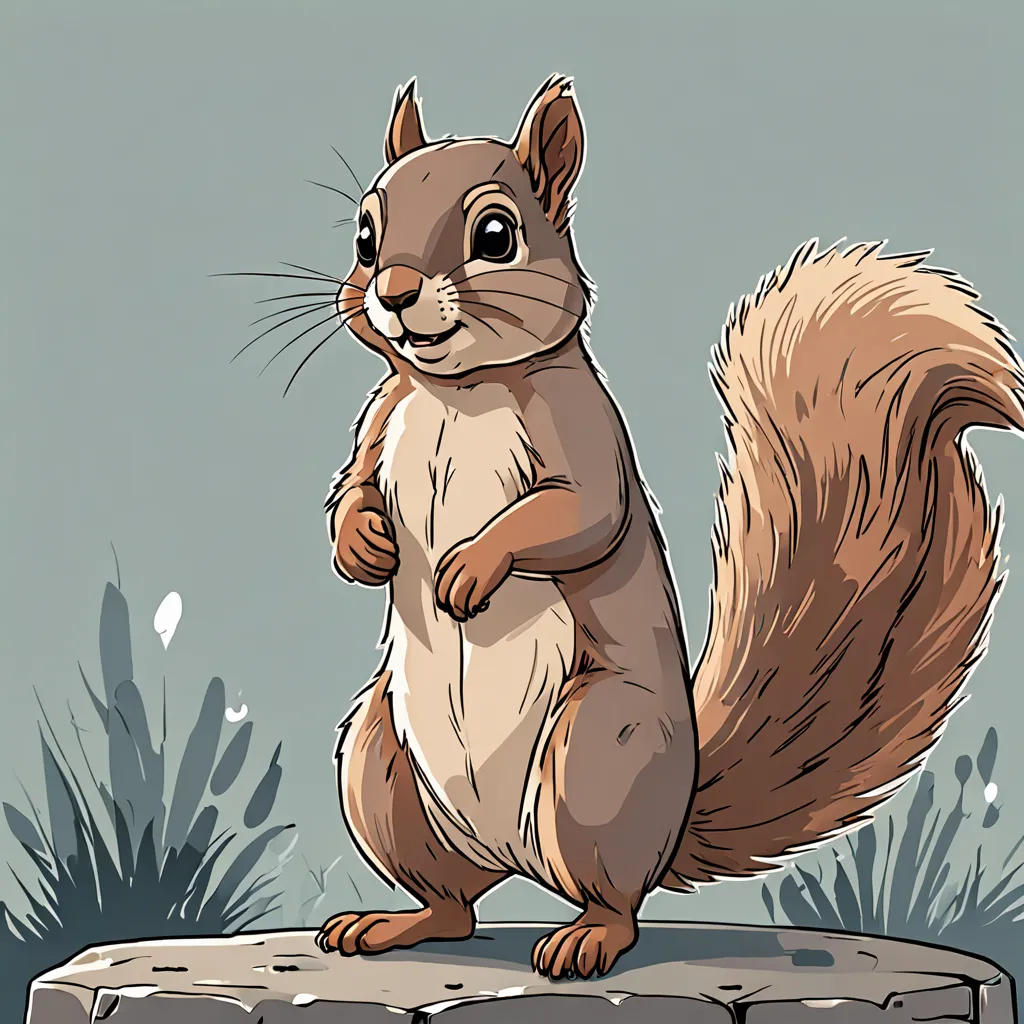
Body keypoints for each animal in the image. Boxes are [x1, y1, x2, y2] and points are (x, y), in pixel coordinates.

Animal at [311, 75, 1024, 979]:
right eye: (366, 234)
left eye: (496, 235)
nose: (395, 289)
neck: (458, 393)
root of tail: (516, 858)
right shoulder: (382, 421)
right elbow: (350, 494)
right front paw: (364, 546)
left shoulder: (584, 434)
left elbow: (580, 514)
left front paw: (469, 569)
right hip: (378, 763)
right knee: (454, 904)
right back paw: (391, 924)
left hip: (597, 755)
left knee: (614, 899)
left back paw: (584, 938)